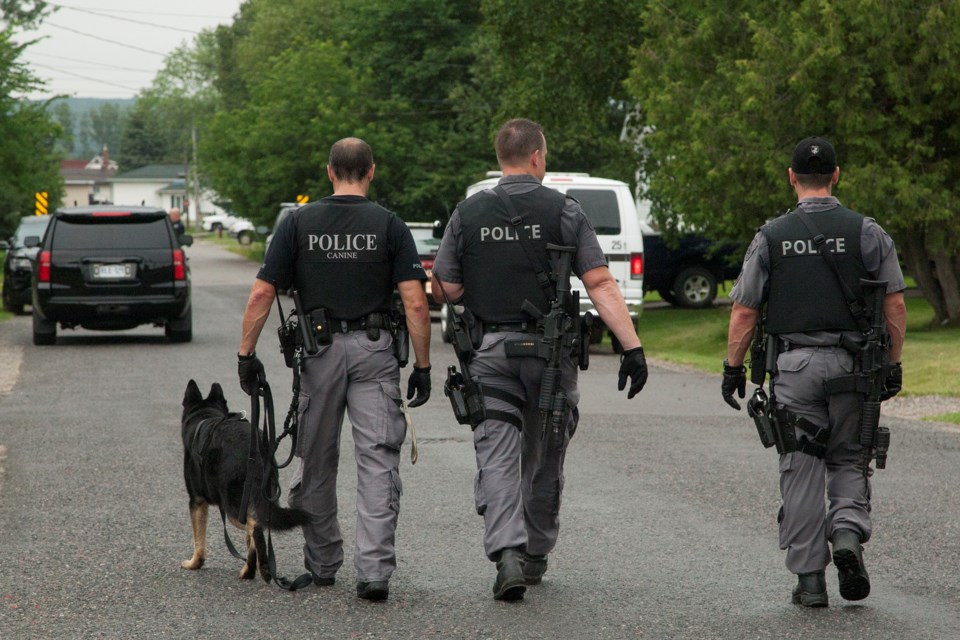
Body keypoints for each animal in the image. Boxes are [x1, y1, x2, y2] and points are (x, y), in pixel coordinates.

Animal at [181, 382, 308, 584]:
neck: (205, 416)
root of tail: (254, 452)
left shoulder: (197, 501)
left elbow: (198, 540)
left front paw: (194, 563)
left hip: (233, 509)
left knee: (255, 527)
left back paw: (255, 568)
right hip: (259, 497)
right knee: (258, 527)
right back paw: (256, 567)